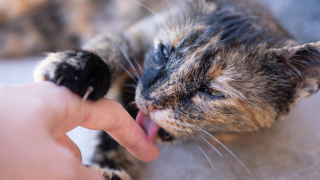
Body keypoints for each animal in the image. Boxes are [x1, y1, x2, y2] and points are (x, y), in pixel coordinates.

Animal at [33, 0, 320, 179]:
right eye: (163, 51)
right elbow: (114, 44)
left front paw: (109, 170)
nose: (149, 100)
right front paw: (78, 69)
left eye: (212, 92)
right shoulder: (139, 32)